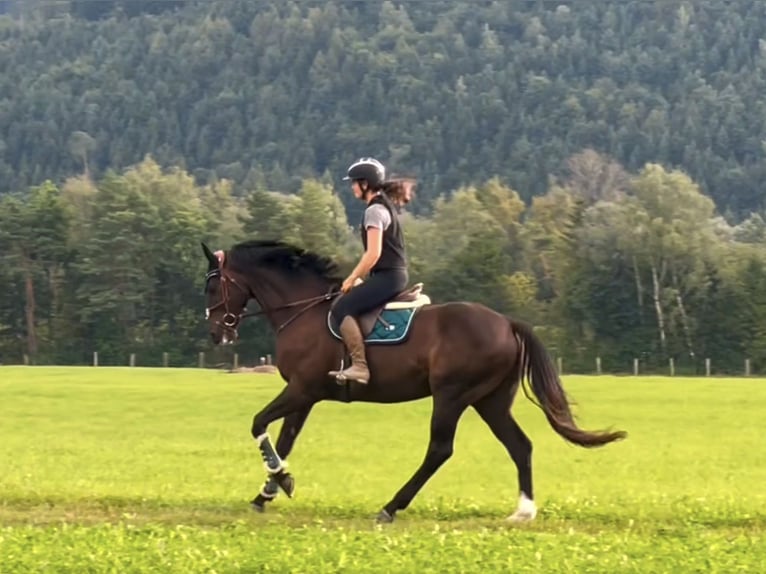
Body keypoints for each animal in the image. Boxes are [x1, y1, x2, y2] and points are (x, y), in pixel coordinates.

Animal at [201, 240, 628, 528]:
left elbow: (258, 423)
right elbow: (285, 439)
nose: (216, 333)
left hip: (452, 395)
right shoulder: (306, 396)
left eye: (211, 287)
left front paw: (278, 482)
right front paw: (271, 489)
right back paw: (523, 511)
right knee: (519, 445)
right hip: (490, 400)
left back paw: (390, 507)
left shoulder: (302, 390)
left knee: (440, 450)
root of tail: (507, 323)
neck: (303, 311)